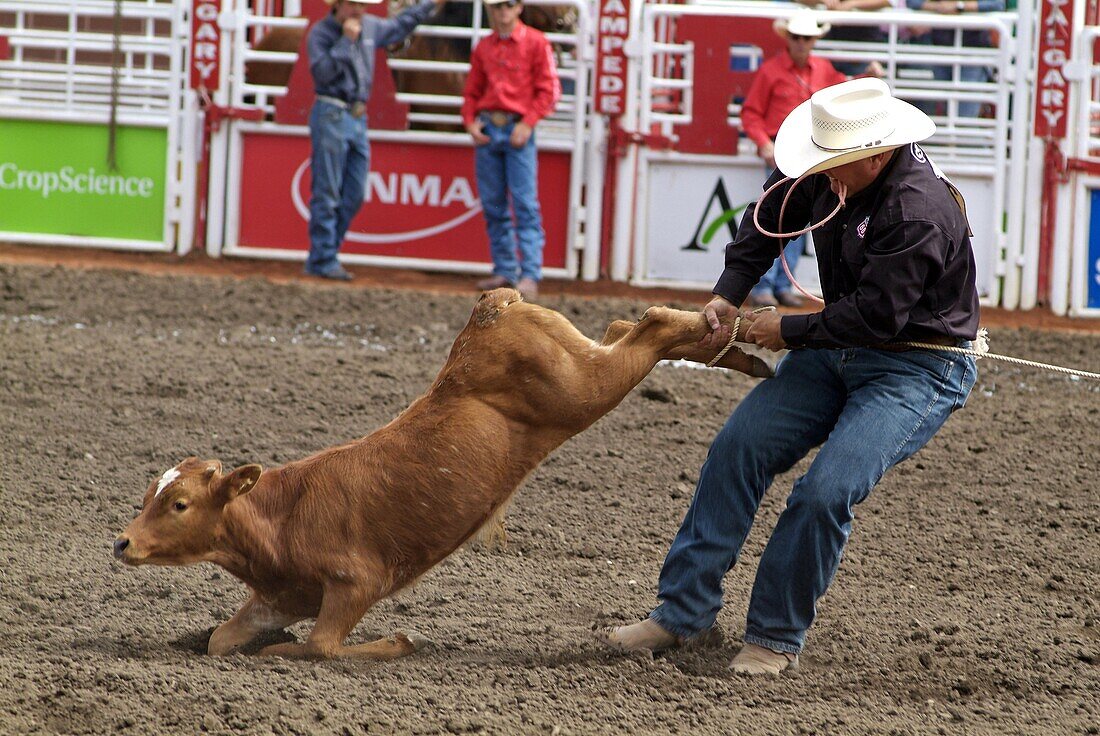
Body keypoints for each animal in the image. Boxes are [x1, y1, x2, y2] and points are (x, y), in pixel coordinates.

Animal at [111, 288, 765, 660]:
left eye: (179, 504)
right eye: (148, 494)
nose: (122, 542)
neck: (283, 517)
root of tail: (490, 309)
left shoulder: (355, 584)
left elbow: (320, 648)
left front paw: (395, 642)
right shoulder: (281, 595)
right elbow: (223, 640)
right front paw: (261, 641)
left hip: (583, 388)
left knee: (650, 325)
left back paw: (739, 333)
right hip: (584, 365)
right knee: (623, 331)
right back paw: (737, 348)